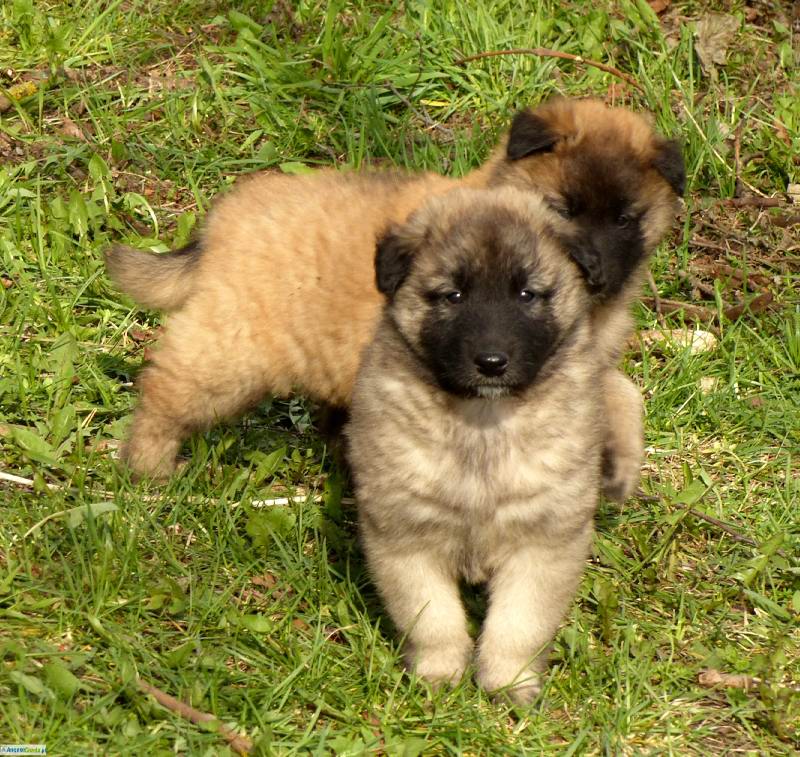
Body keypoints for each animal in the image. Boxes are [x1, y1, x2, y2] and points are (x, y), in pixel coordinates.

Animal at [104, 97, 680, 488]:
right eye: (562, 209)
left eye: (625, 220)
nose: (597, 273)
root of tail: (223, 221)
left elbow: (622, 394)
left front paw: (623, 461)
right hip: (231, 353)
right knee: (164, 391)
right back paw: (150, 468)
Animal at [346, 188, 604, 704]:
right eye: (454, 295)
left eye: (526, 294)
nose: (491, 362)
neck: (483, 424)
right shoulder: (405, 536)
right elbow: (433, 618)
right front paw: (438, 674)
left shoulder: (544, 542)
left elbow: (519, 624)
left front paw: (509, 681)